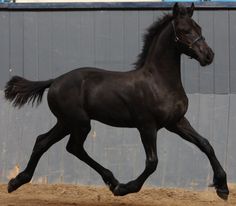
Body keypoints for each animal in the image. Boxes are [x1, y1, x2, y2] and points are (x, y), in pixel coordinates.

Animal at [3, 2, 229, 200]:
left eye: (199, 27)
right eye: (184, 30)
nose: (208, 55)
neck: (159, 81)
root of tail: (54, 81)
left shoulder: (176, 122)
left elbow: (206, 144)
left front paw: (223, 188)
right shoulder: (147, 125)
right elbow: (152, 162)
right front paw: (126, 188)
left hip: (66, 122)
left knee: (44, 142)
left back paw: (16, 182)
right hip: (79, 122)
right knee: (73, 147)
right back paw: (114, 182)